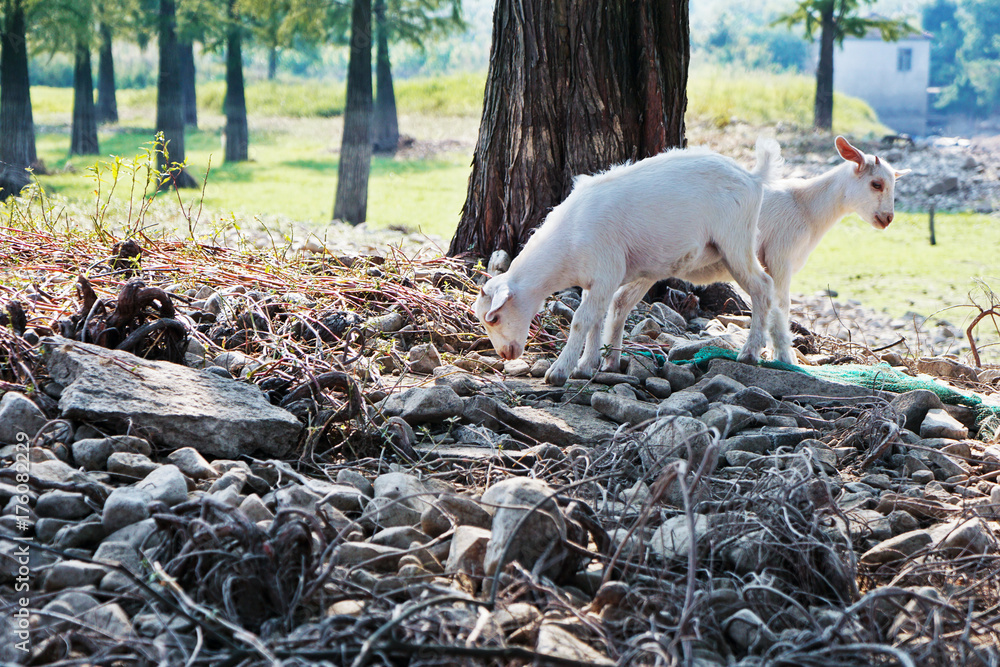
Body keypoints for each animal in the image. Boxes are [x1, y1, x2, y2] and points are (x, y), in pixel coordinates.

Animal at [472, 141, 784, 386]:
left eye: (494, 317)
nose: (505, 354)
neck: (566, 245)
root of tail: (753, 177)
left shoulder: (605, 273)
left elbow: (580, 320)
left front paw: (560, 371)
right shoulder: (597, 282)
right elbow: (596, 319)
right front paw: (586, 366)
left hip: (736, 241)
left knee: (763, 286)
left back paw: (750, 352)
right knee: (622, 304)